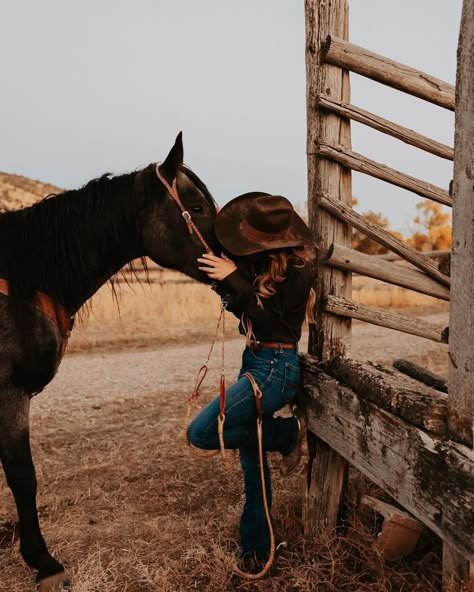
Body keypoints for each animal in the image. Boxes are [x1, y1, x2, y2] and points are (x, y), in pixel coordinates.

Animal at [0, 132, 218, 588]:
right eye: (198, 206)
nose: (248, 267)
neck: (23, 279)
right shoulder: (9, 392)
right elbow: (23, 477)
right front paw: (43, 563)